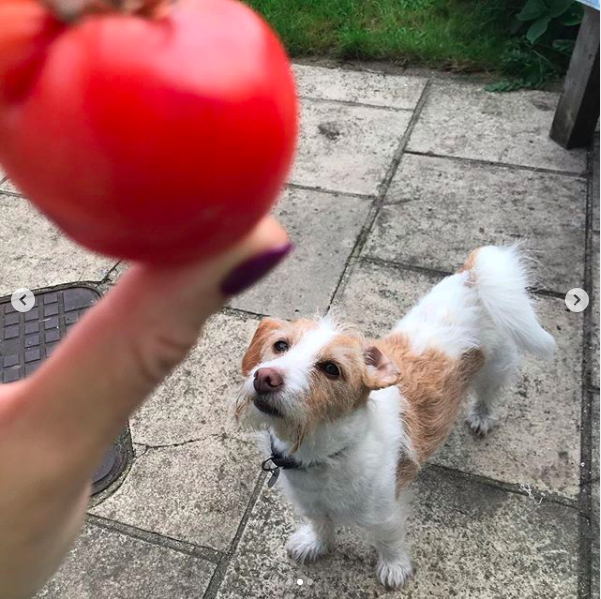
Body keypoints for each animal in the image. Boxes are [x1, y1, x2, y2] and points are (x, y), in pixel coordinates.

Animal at [233, 246, 552, 588]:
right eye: (280, 345)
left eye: (331, 368)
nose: (265, 378)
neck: (323, 453)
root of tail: (473, 276)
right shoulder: (313, 505)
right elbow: (321, 525)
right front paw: (314, 544)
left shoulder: (385, 513)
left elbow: (389, 540)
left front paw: (394, 567)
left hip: (497, 366)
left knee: (490, 393)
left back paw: (481, 416)